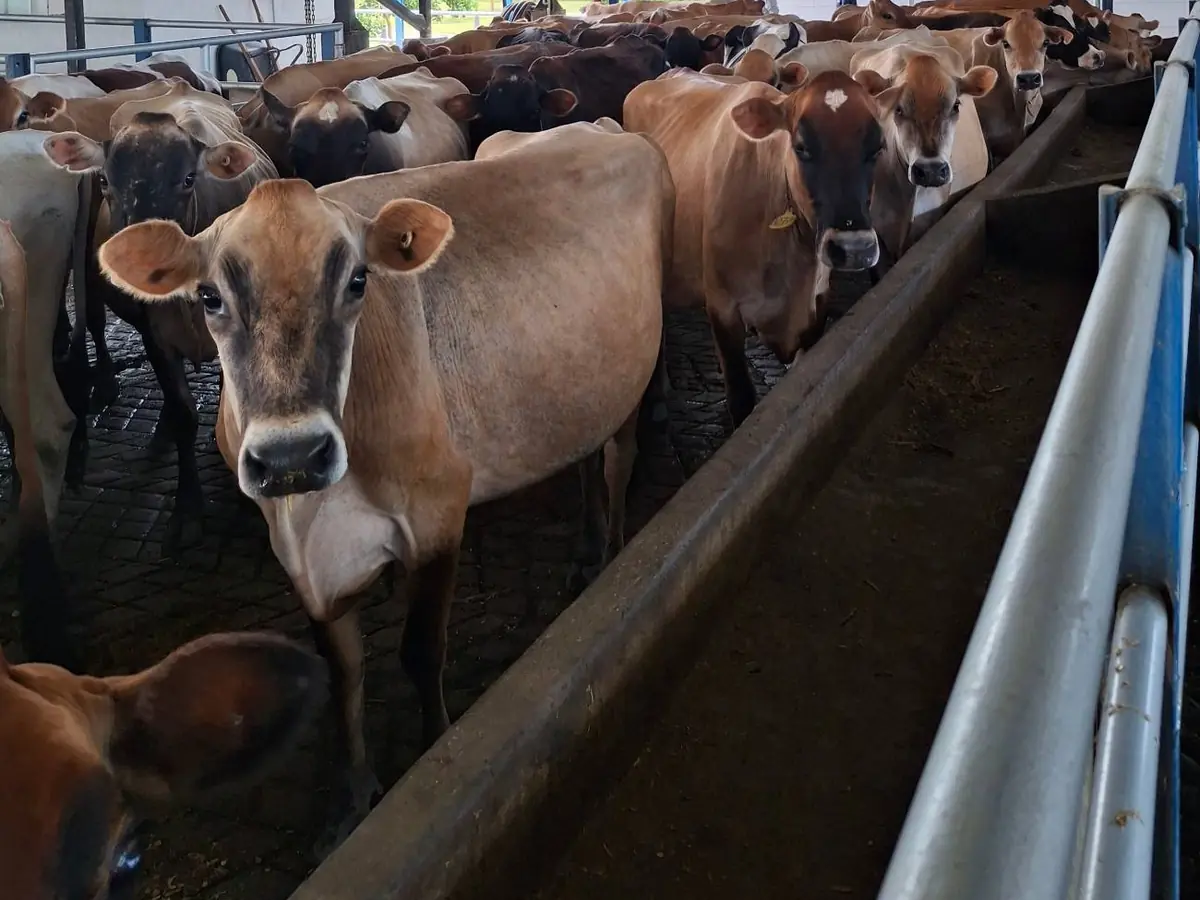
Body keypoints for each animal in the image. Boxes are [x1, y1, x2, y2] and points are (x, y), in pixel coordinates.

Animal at [41, 81, 278, 551]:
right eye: (104, 180)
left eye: (188, 178)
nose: (137, 258)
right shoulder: (155, 336)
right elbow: (184, 411)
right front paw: (187, 508)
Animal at [96, 119, 673, 854]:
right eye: (210, 296)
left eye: (358, 280)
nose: (293, 453)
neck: (315, 511)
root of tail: (598, 124)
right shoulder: (299, 554)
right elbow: (343, 671)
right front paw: (351, 793)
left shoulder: (437, 511)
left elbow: (421, 652)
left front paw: (431, 748)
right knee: (581, 462)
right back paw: (586, 555)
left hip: (634, 380)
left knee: (618, 462)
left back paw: (616, 554)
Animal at [624, 66, 889, 425]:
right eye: (801, 147)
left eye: (877, 148)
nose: (855, 249)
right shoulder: (722, 305)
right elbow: (742, 400)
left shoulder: (817, 304)